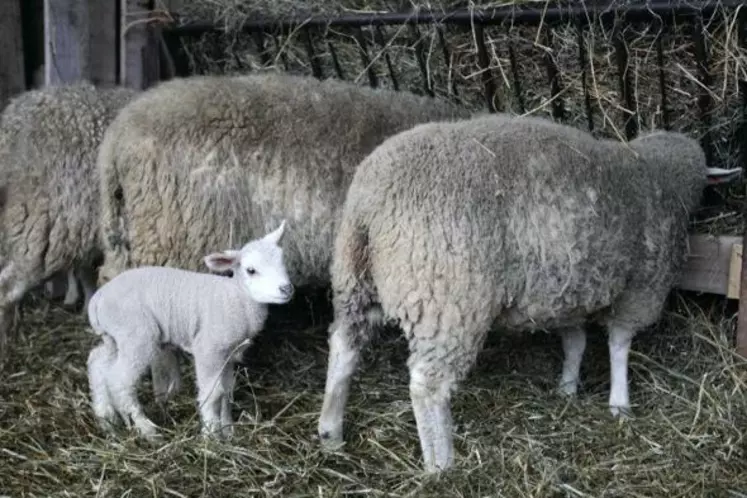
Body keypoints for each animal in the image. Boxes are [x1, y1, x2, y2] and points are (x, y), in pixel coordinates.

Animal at [87, 220, 296, 438]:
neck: (236, 297)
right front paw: (211, 433)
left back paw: (106, 418)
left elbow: (227, 391)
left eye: (283, 262)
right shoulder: (209, 350)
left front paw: (228, 429)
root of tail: (98, 298)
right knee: (119, 379)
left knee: (98, 362)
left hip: (114, 336)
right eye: (251, 270)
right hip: (137, 335)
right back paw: (146, 428)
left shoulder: (228, 354)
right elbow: (214, 393)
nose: (286, 289)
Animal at [316, 114, 744, 474]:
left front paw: (567, 387)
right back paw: (442, 465)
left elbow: (575, 342)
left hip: (356, 278)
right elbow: (619, 346)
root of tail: (370, 203)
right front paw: (619, 403)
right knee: (427, 386)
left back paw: (330, 431)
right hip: (448, 297)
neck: (653, 176)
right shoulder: (640, 288)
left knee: (343, 346)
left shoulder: (565, 292)